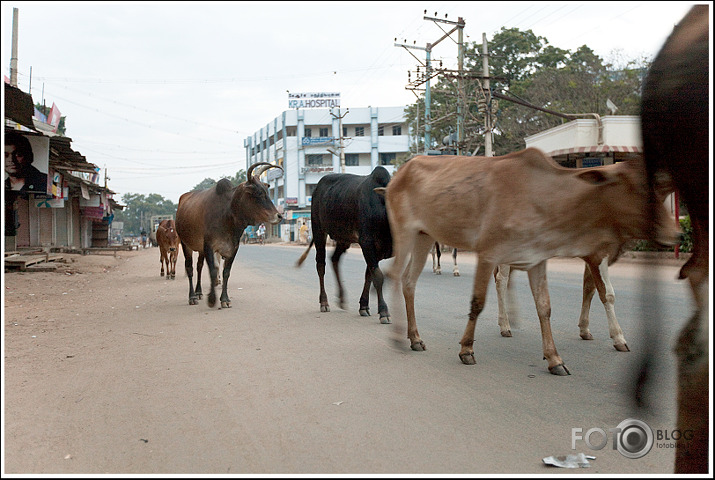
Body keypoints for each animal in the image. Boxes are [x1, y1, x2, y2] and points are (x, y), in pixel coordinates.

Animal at [175, 162, 284, 308]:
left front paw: (225, 299)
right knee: (190, 268)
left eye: (267, 192)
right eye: (258, 193)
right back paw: (192, 296)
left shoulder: (233, 248)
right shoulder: (209, 246)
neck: (228, 214)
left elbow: (226, 273)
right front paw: (212, 299)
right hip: (185, 243)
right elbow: (213, 271)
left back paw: (198, 292)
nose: (279, 216)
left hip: (200, 249)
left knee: (199, 267)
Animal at [298, 167, 394, 324]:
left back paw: (342, 298)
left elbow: (369, 275)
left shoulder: (377, 250)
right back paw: (324, 302)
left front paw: (364, 306)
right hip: (319, 231)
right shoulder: (367, 243)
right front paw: (384, 312)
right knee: (321, 265)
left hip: (343, 239)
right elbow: (378, 276)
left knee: (334, 259)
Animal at [384, 146, 680, 376]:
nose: (676, 234)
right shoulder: (489, 253)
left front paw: (555, 359)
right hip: (404, 232)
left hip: (424, 237)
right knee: (396, 275)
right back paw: (398, 336)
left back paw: (415, 337)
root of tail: (401, 172)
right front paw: (466, 349)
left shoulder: (537, 259)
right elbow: (477, 303)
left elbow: (544, 307)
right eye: (641, 188)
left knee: (409, 282)